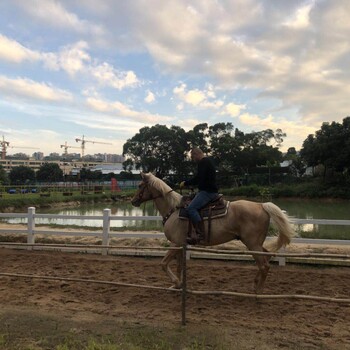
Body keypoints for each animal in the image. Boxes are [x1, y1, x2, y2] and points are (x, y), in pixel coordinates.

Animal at [131, 172, 296, 292]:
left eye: (139, 185)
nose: (133, 201)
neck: (174, 209)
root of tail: (262, 205)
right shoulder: (180, 244)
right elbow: (179, 266)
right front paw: (179, 285)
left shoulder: (175, 243)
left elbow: (164, 264)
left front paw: (176, 282)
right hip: (255, 244)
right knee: (267, 257)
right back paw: (255, 284)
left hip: (252, 244)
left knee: (264, 265)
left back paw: (258, 292)